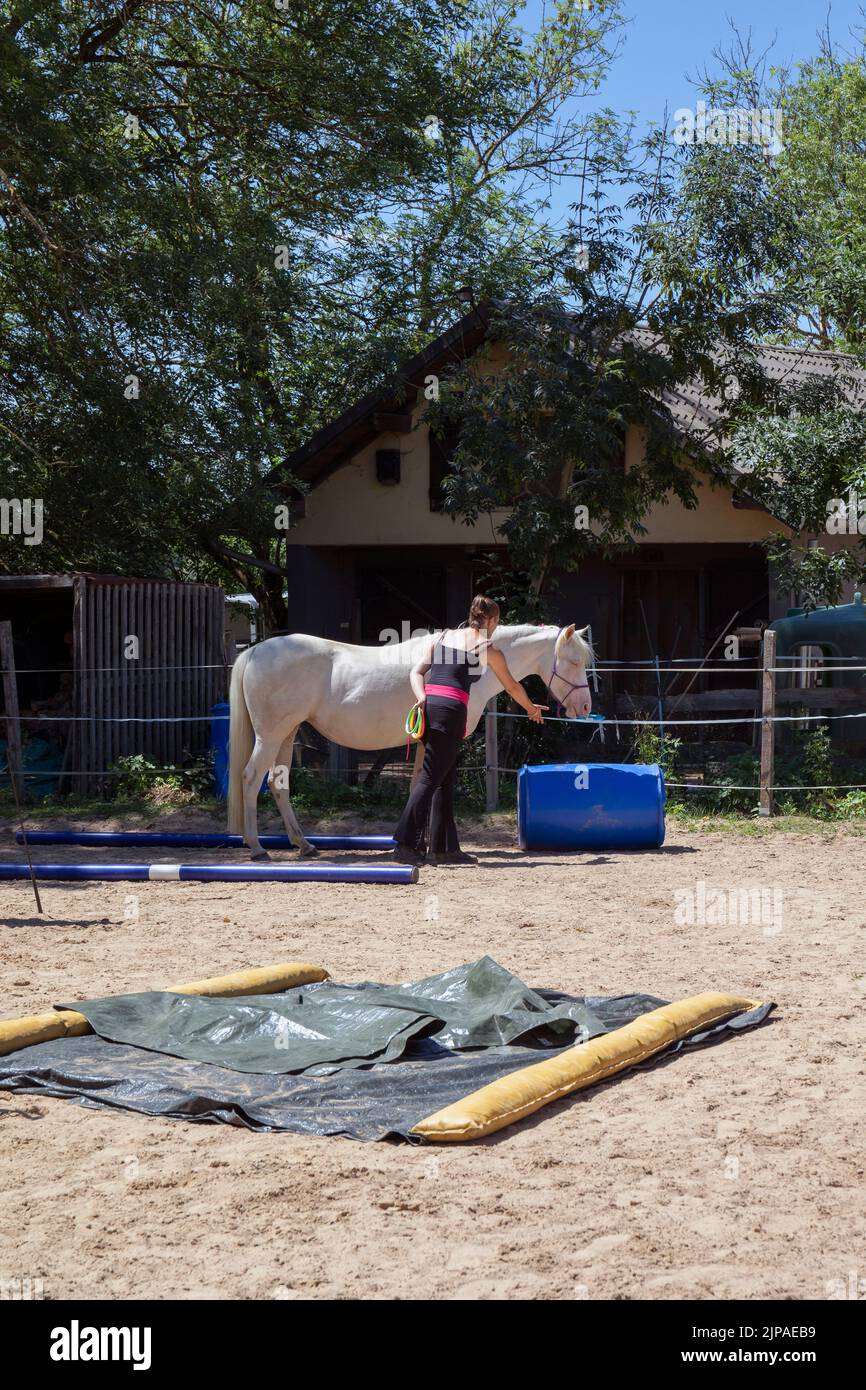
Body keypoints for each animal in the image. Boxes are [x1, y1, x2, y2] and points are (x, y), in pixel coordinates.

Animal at [226, 622, 592, 856]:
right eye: (574, 661)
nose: (586, 707)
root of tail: (256, 651)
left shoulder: (424, 743)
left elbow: (421, 784)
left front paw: (419, 843)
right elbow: (432, 785)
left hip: (286, 736)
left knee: (278, 784)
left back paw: (304, 845)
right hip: (270, 736)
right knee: (250, 778)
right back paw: (257, 848)